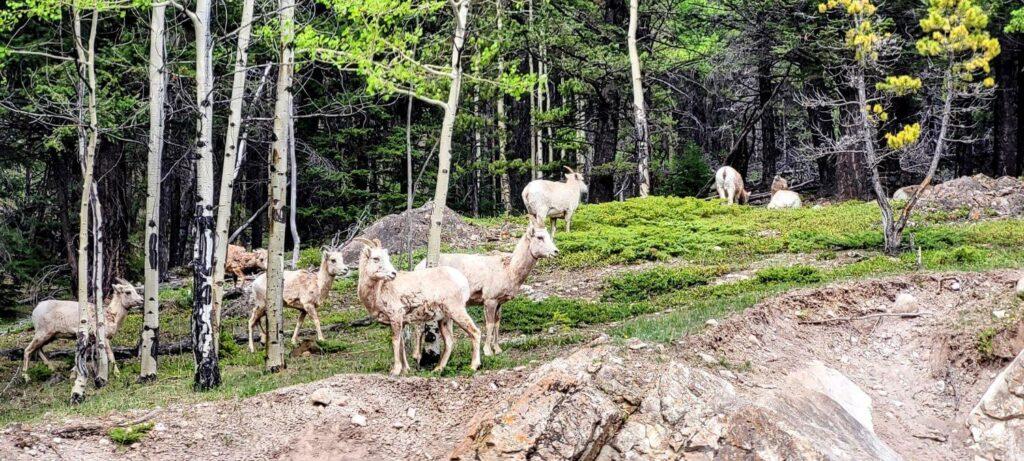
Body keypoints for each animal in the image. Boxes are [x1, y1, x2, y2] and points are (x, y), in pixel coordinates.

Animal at [352, 237, 479, 374]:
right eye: (376, 258)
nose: (393, 274)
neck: (378, 292)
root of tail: (462, 280)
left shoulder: (396, 317)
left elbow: (395, 342)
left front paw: (395, 371)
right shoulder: (401, 322)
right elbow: (402, 345)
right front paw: (405, 370)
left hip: (457, 311)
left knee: (475, 332)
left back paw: (473, 366)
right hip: (445, 318)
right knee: (449, 342)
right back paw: (438, 369)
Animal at [411, 217, 561, 356]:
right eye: (540, 237)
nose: (556, 251)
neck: (509, 270)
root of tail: (417, 267)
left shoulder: (500, 302)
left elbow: (497, 323)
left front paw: (498, 349)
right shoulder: (490, 299)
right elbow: (489, 324)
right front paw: (488, 351)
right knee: (418, 325)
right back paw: (417, 356)